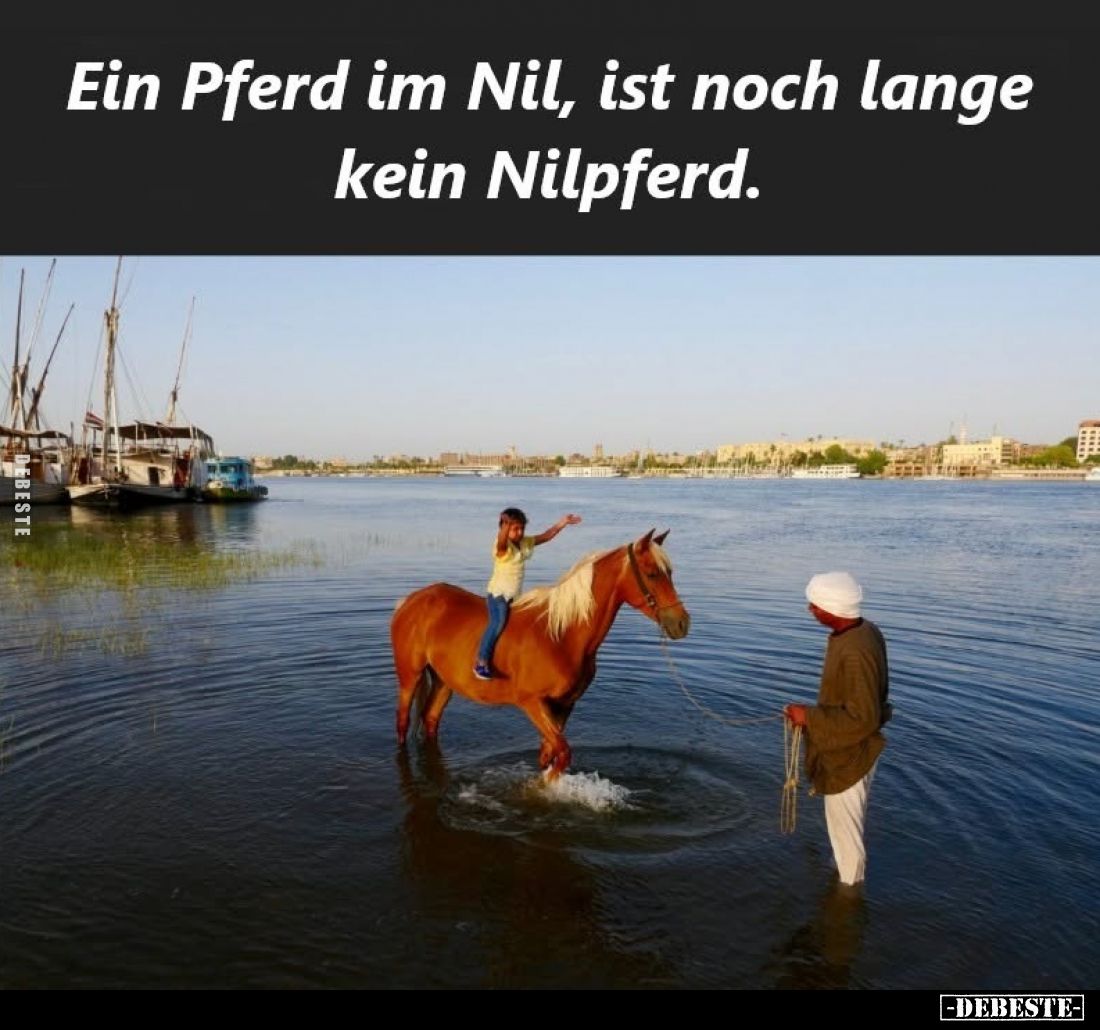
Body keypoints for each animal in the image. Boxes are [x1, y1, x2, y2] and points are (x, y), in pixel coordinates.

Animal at [390, 529, 690, 778]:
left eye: (671, 573)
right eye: (652, 574)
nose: (681, 623)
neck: (561, 635)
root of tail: (411, 600)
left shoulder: (565, 704)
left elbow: (550, 754)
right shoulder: (532, 702)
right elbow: (562, 753)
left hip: (444, 682)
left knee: (430, 720)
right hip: (410, 677)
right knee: (403, 722)